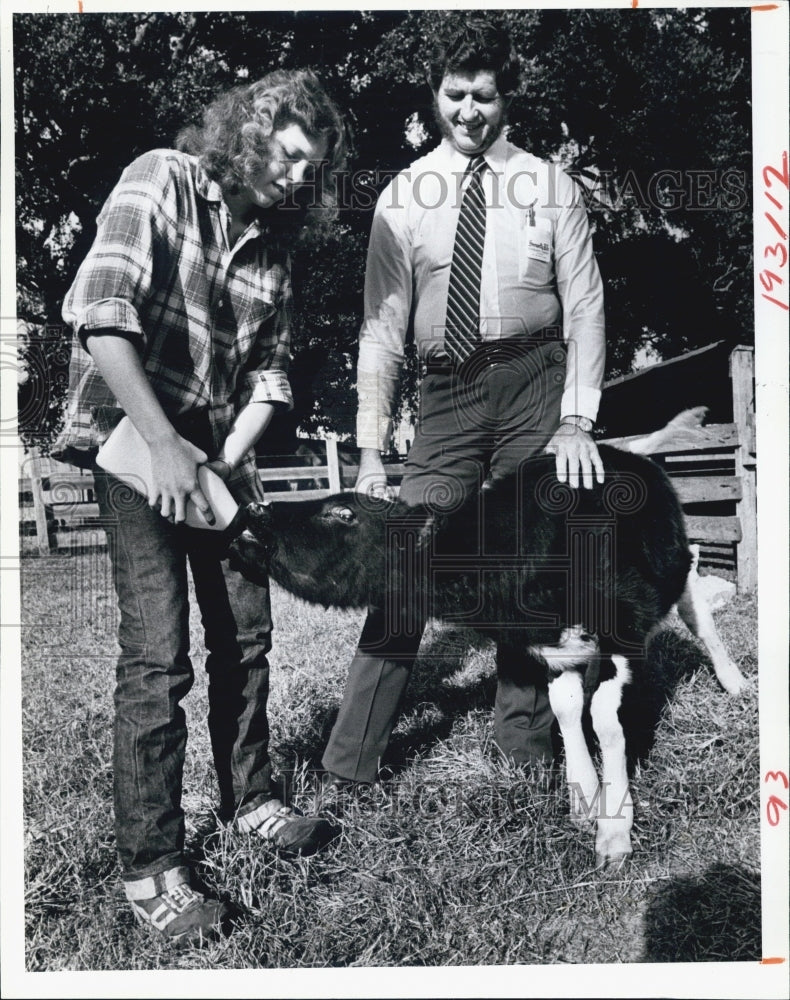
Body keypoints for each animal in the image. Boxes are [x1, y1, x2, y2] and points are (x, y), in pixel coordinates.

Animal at [229, 442, 748, 864]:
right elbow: (567, 708)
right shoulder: (547, 645)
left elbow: (605, 720)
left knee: (697, 611)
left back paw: (735, 681)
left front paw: (614, 829)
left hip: (675, 563)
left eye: (341, 514)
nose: (257, 508)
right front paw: (584, 796)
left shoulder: (623, 623)